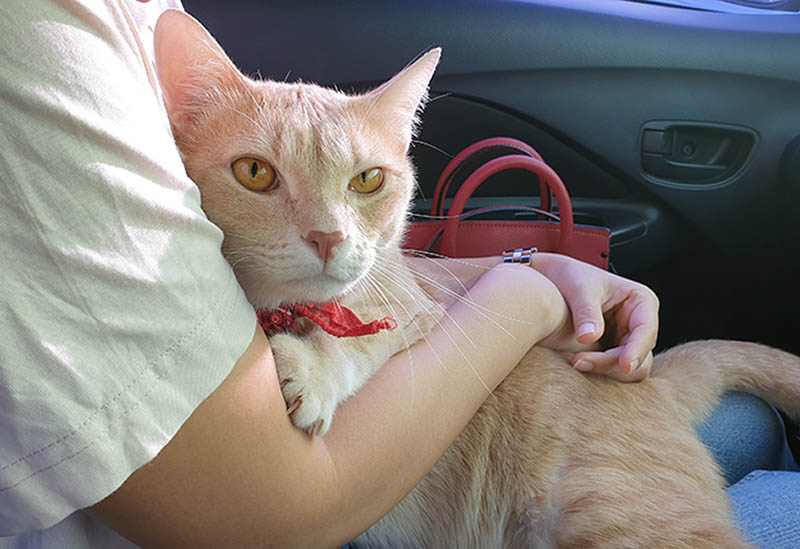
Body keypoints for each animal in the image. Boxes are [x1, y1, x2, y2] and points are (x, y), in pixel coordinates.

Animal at [153, 10, 796, 544]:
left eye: (367, 180)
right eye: (255, 173)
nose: (328, 237)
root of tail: (653, 382)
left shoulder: (415, 309)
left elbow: (360, 338)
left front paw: (310, 366)